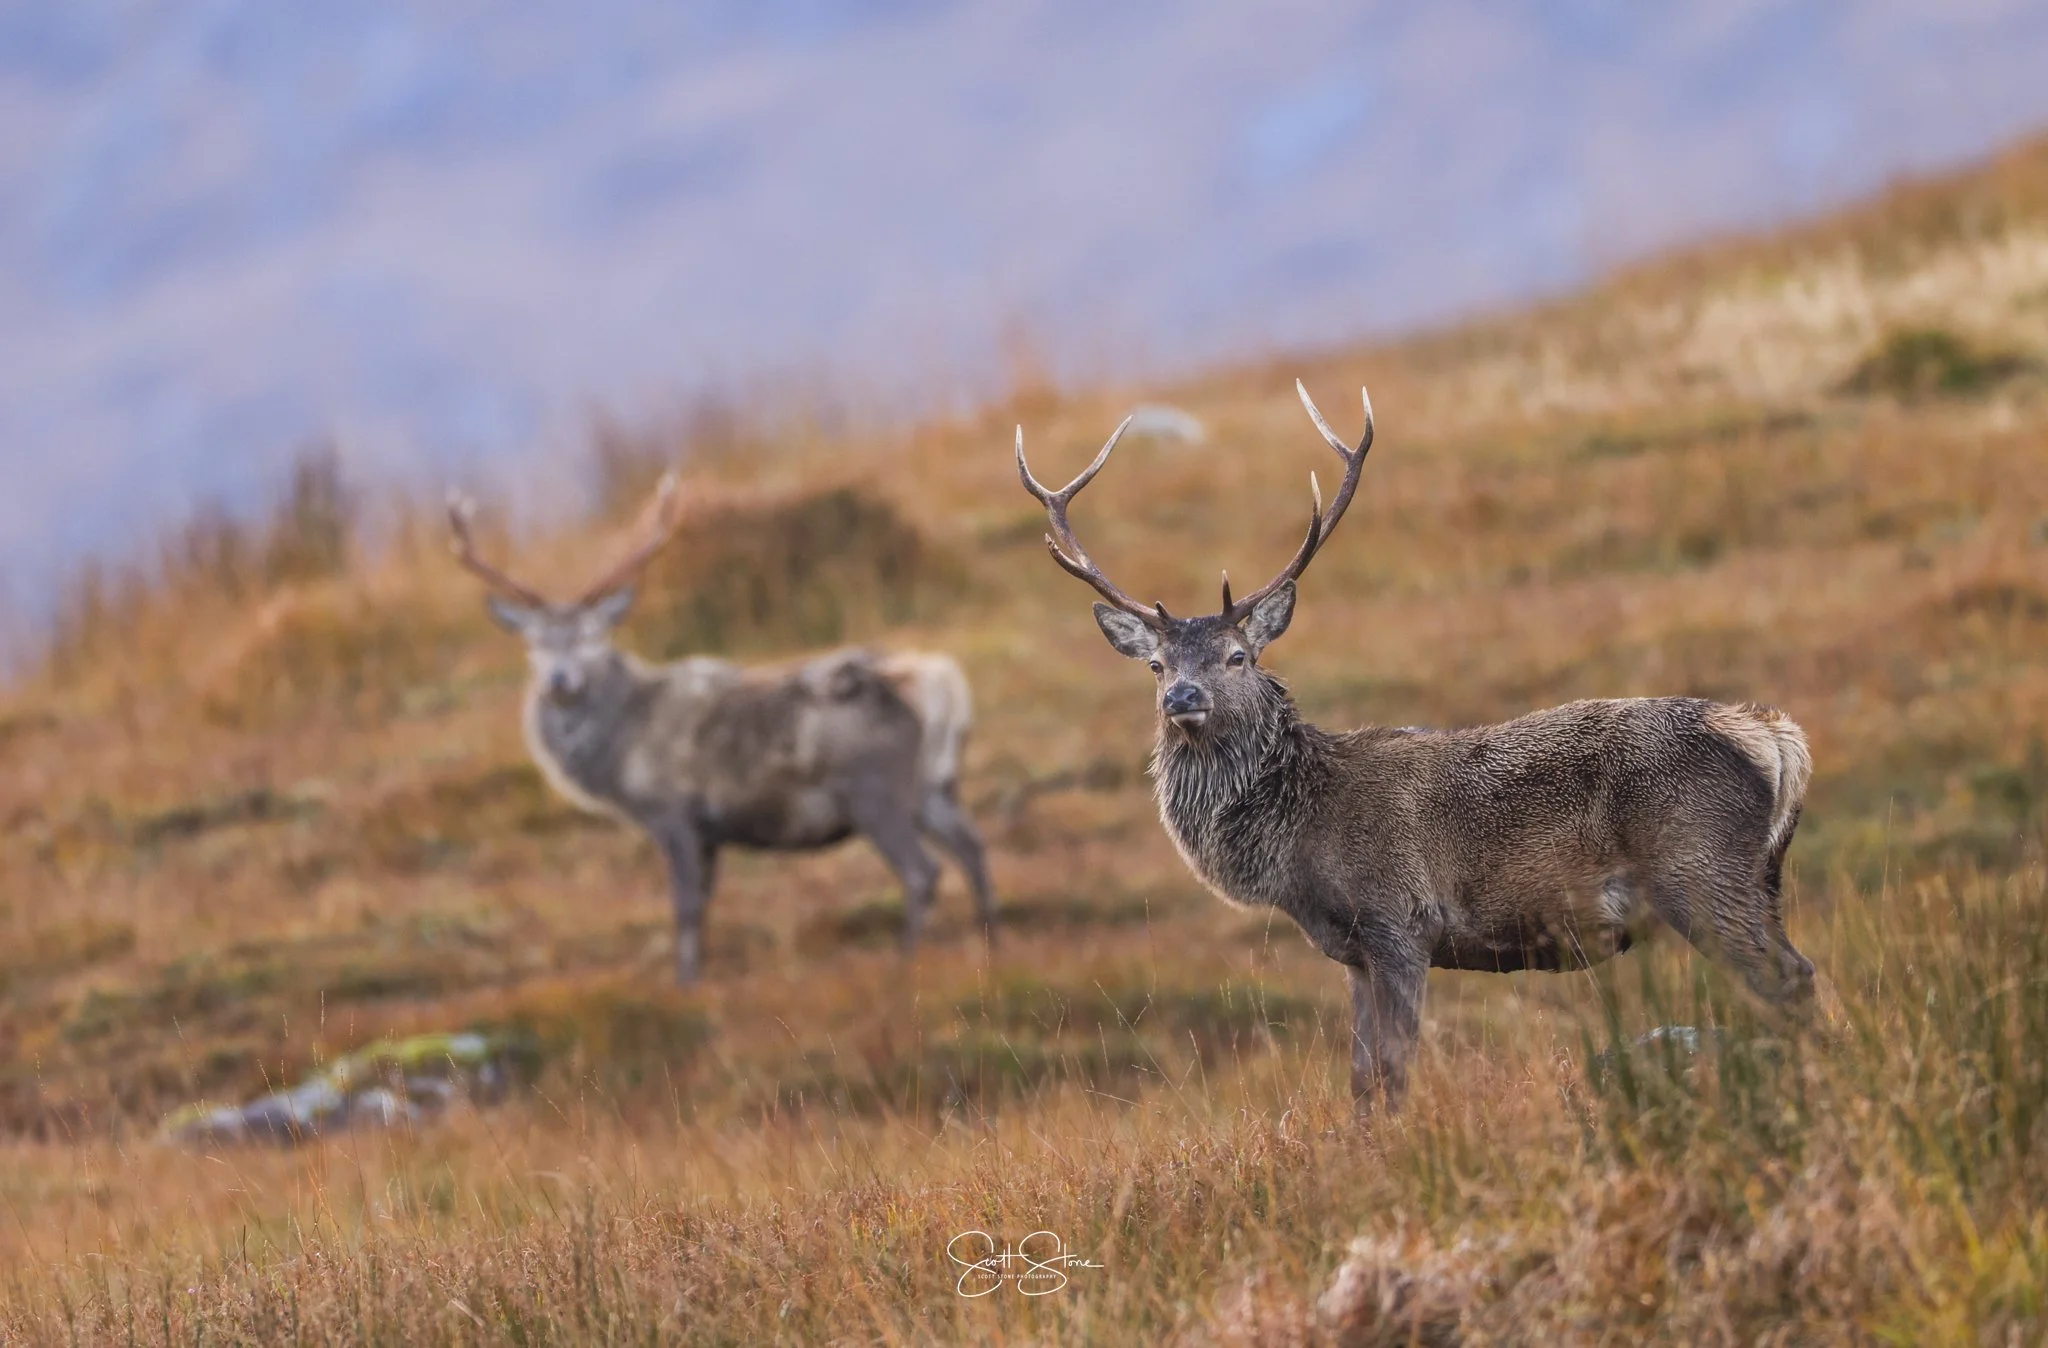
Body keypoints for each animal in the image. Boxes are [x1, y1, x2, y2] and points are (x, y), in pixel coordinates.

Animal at [447, 473, 996, 983]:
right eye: (533, 644)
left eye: (593, 637)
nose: (560, 681)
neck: (619, 754)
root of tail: (939, 686)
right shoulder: (709, 832)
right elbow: (705, 904)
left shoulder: (673, 814)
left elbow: (686, 906)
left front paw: (686, 984)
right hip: (935, 787)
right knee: (973, 849)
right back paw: (994, 945)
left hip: (874, 791)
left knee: (922, 871)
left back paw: (904, 963)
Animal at [1017, 381, 1819, 1110]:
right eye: (1157, 664)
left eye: (1237, 655)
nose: (1182, 698)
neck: (1298, 846)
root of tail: (1776, 737)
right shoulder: (1351, 953)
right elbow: (1360, 1083)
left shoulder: (1400, 922)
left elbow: (1395, 1074)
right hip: (1757, 878)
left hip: (1699, 871)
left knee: (1792, 980)